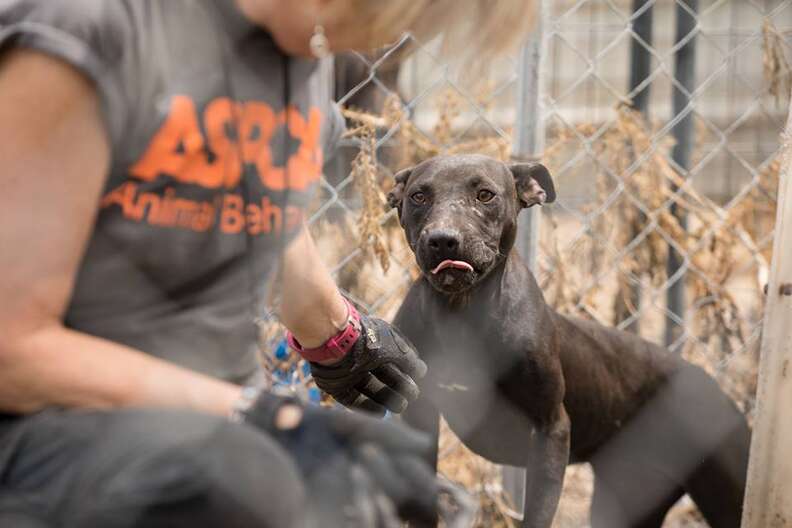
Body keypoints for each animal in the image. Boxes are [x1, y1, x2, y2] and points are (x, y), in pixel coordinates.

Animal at [386, 154, 752, 528]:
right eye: (418, 196)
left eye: (485, 195)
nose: (443, 239)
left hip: (727, 496)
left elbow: (537, 514)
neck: (461, 313)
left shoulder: (551, 427)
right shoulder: (421, 418)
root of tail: (711, 384)